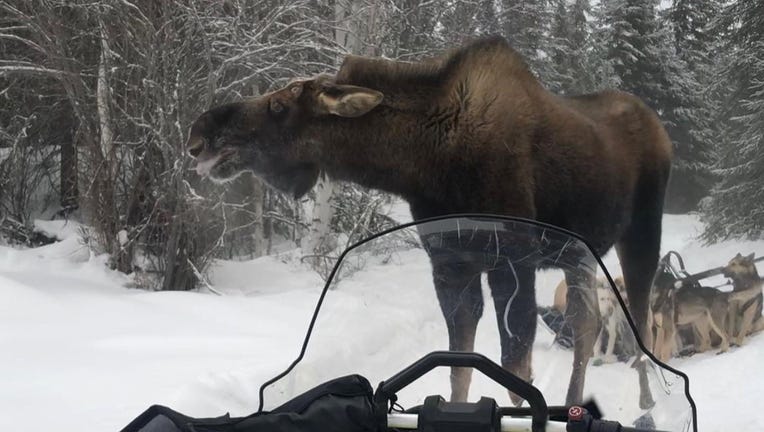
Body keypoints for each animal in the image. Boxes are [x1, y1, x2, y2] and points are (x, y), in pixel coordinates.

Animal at [188, 36, 672, 408]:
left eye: (279, 104)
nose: (198, 133)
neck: (425, 163)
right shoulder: (450, 268)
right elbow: (460, 368)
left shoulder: (512, 264)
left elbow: (516, 376)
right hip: (579, 254)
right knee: (586, 327)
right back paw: (575, 403)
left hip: (641, 236)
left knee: (641, 323)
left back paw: (648, 400)